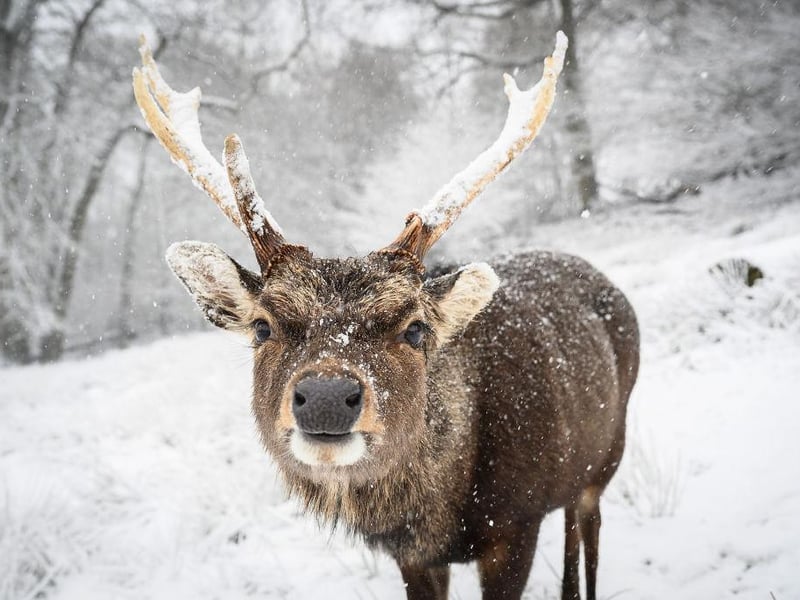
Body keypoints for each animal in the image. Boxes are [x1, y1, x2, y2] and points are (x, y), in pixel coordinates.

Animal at [132, 31, 639, 600]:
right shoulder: (410, 555)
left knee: (587, 525)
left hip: (609, 451)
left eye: (415, 328)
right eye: (263, 326)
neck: (439, 515)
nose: (327, 397)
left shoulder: (516, 522)